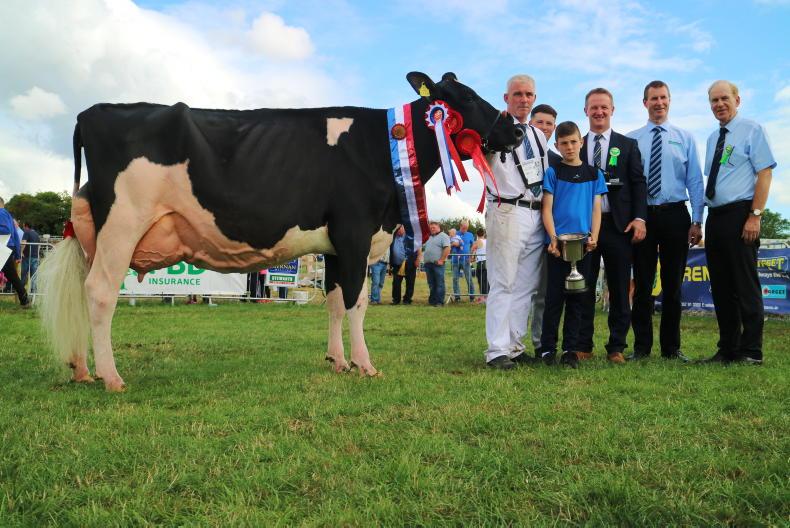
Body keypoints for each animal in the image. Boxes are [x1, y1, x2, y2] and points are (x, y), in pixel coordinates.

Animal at [36, 72, 523, 392]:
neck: (382, 146)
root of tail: (92, 112)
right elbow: (356, 303)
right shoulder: (355, 232)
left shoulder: (335, 246)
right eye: (465, 98)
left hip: (97, 234)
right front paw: (364, 365)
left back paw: (81, 368)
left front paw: (337, 361)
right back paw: (112, 377)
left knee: (83, 289)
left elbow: (333, 302)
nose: (516, 130)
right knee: (100, 292)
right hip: (122, 222)